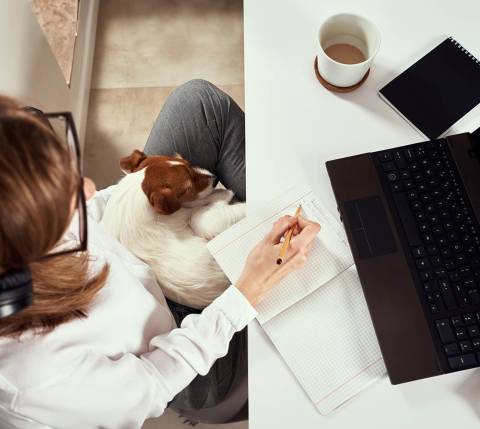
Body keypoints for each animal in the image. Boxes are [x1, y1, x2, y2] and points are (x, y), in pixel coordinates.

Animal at [100, 150, 244, 308]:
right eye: (188, 188)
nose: (215, 178)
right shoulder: (187, 211)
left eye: (188, 163)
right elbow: (199, 202)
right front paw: (220, 194)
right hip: (207, 222)